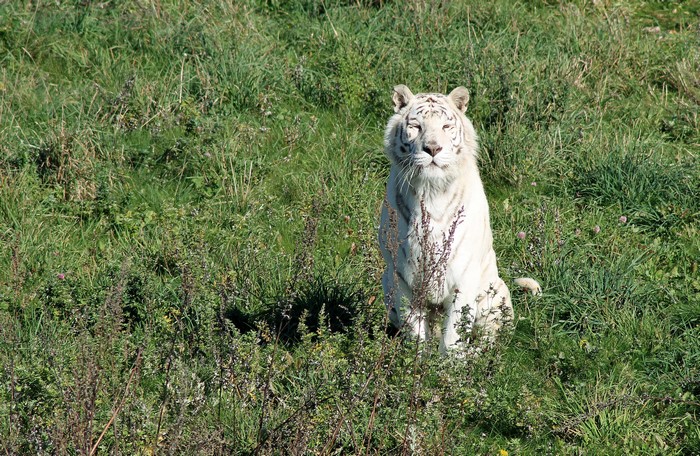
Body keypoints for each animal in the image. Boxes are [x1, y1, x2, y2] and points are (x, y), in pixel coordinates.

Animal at [378, 84, 540, 355]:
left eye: (446, 126)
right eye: (416, 126)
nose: (433, 149)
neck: (431, 191)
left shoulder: (462, 277)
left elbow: (454, 333)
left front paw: (449, 364)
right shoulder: (402, 279)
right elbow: (415, 331)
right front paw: (416, 361)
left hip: (495, 295)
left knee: (488, 339)